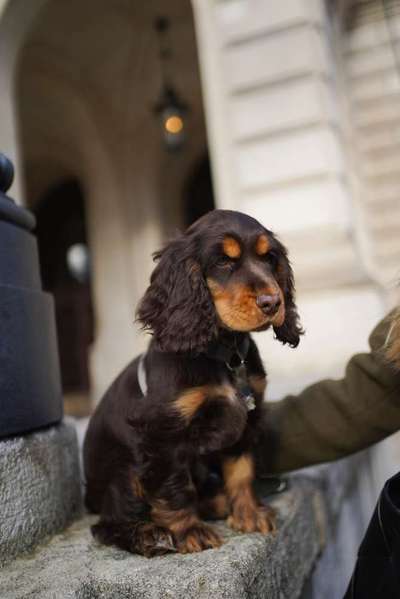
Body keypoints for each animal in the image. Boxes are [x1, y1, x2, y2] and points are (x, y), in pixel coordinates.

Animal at [83, 210, 300, 556]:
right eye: (224, 261)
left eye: (269, 258)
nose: (272, 302)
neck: (224, 355)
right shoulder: (163, 434)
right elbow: (174, 485)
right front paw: (187, 530)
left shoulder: (247, 418)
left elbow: (241, 471)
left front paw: (249, 513)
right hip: (125, 469)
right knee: (106, 523)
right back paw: (150, 535)